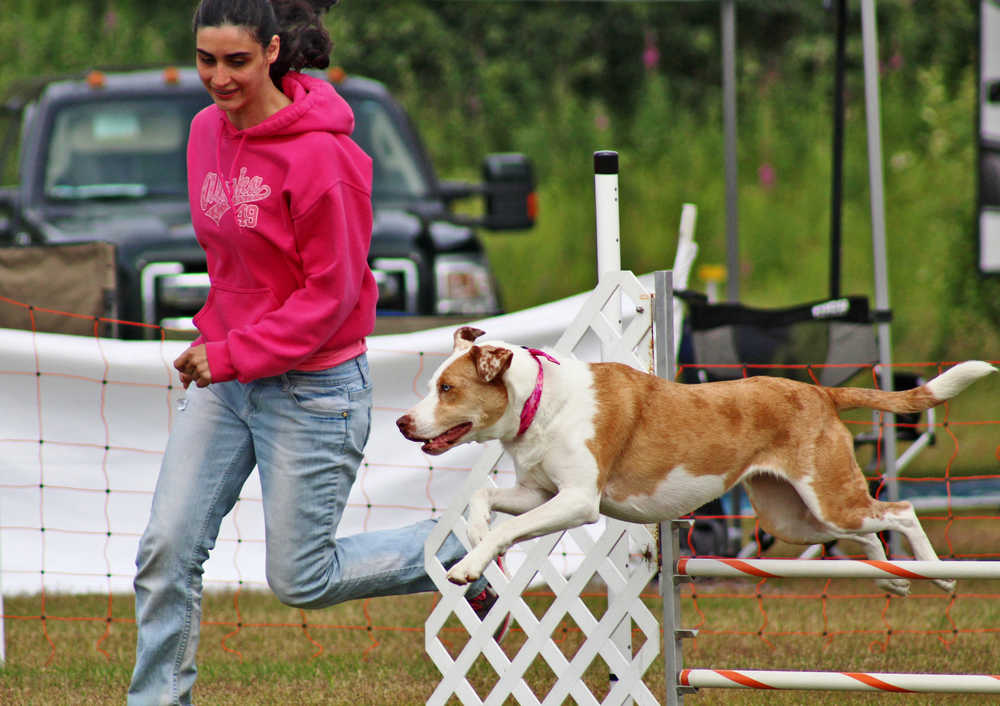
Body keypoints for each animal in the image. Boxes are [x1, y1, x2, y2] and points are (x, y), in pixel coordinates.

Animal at [396, 326, 992, 592]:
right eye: (430, 385)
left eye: (447, 388)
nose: (402, 423)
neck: (541, 402)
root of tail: (820, 392)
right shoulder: (540, 492)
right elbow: (484, 498)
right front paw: (475, 537)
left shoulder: (578, 501)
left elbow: (505, 528)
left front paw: (469, 565)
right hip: (793, 516)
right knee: (866, 533)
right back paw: (894, 580)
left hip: (826, 495)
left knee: (899, 513)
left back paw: (937, 576)